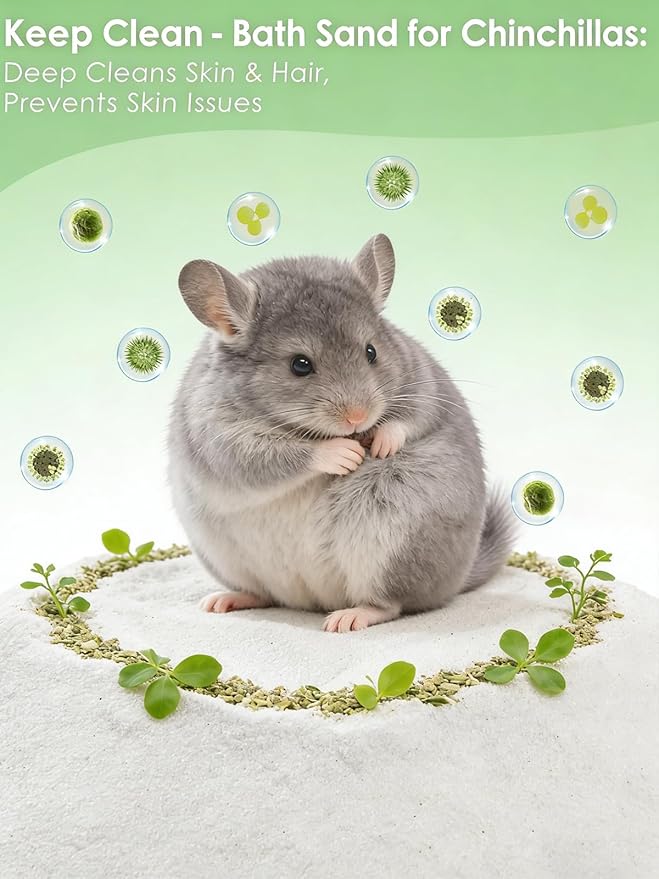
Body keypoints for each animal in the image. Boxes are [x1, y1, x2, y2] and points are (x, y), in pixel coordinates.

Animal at [168, 234, 515, 632]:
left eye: (372, 351)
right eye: (300, 364)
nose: (358, 417)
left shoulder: (425, 382)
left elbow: (412, 416)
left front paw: (383, 441)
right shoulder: (218, 436)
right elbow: (274, 457)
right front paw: (342, 454)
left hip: (392, 545)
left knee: (391, 605)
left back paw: (349, 617)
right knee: (264, 594)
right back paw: (225, 600)